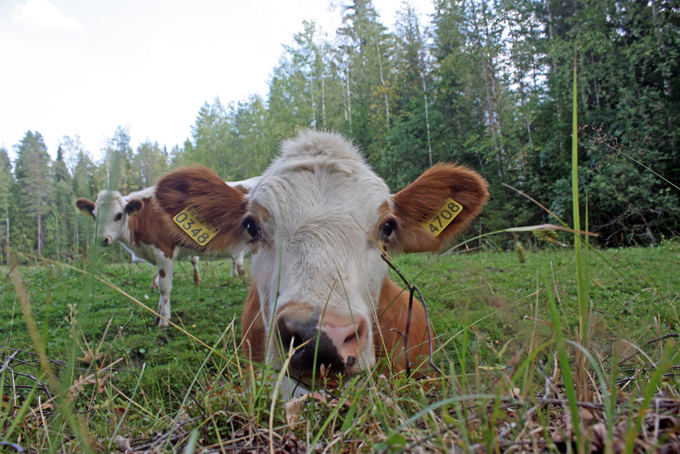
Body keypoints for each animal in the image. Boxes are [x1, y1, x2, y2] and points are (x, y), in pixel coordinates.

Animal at [76, 180, 256, 327]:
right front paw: (158, 315)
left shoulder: (164, 253)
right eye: (94, 216)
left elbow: (164, 287)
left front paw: (164, 320)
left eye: (119, 215)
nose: (102, 239)